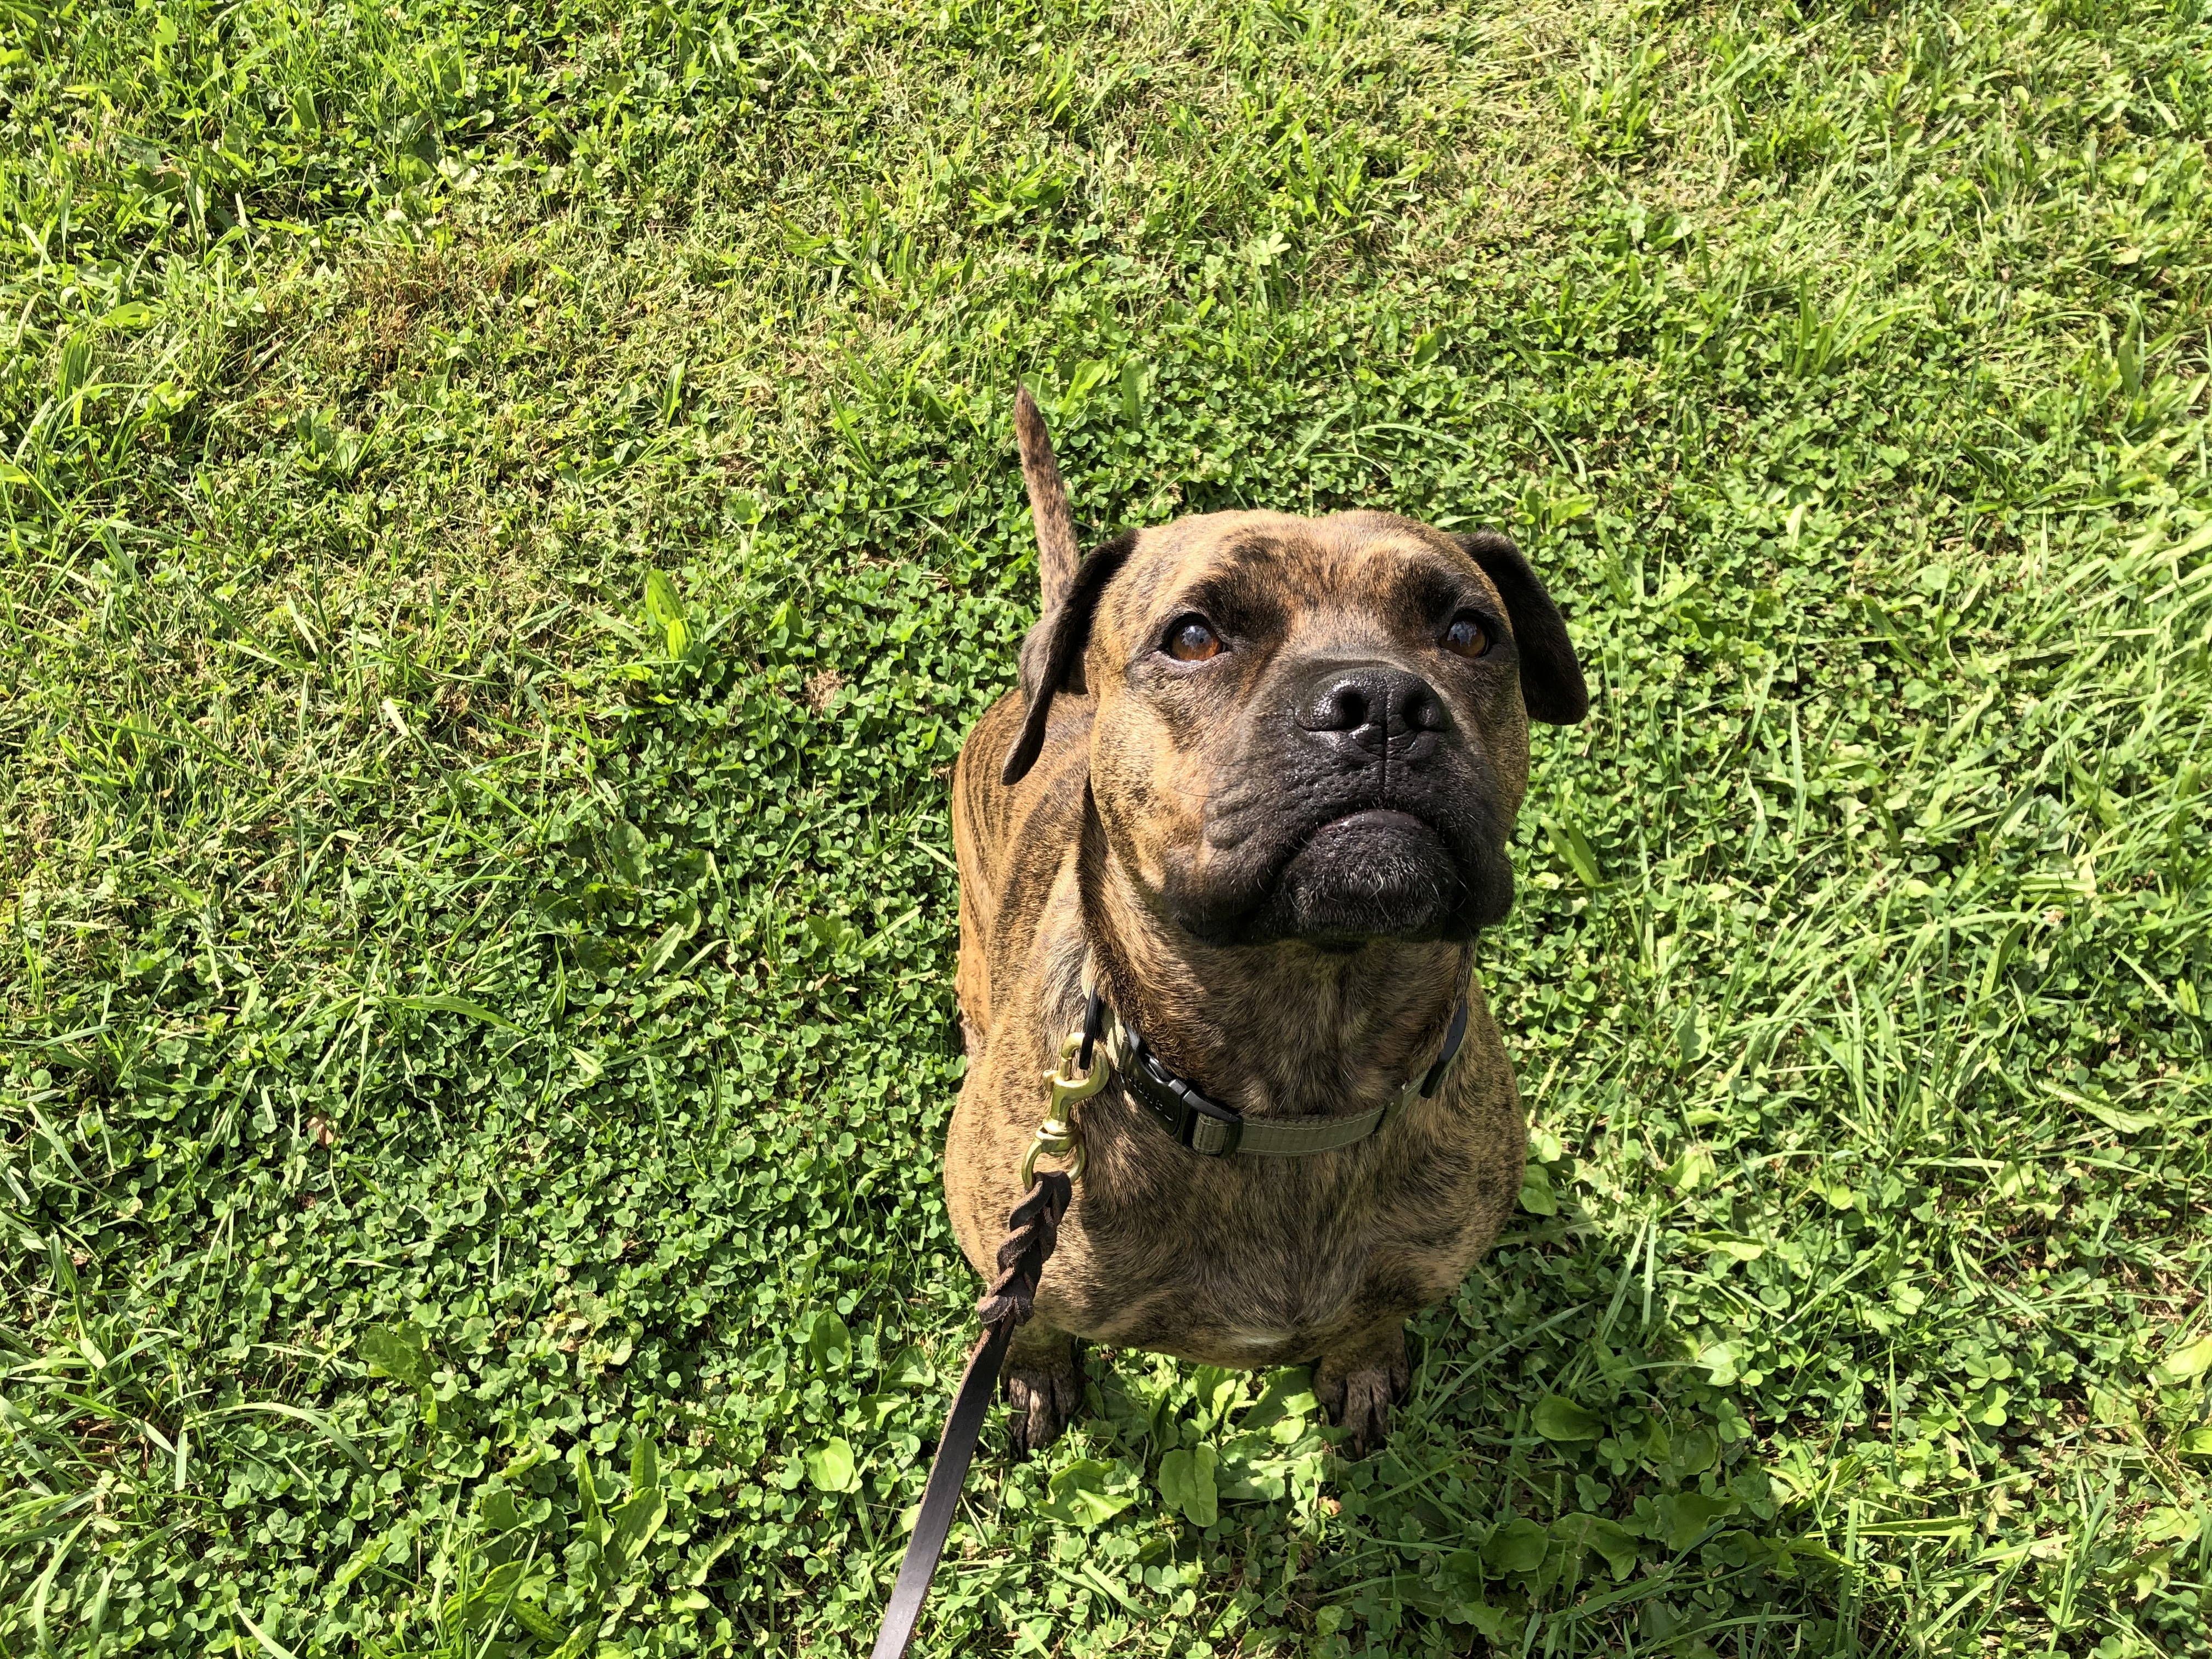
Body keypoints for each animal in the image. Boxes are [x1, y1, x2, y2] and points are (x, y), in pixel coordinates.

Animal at [942, 389, 1583, 1451]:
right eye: (1194, 635)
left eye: (1467, 632)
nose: (1380, 702)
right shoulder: (1017, 1246)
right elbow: (1024, 1315)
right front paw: (1031, 1376)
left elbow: (1371, 1317)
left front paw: (1361, 1368)